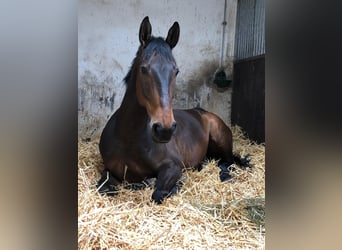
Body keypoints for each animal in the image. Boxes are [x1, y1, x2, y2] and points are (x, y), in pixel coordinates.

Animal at [97, 16, 250, 203]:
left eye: (176, 71)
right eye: (143, 69)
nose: (164, 129)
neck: (128, 138)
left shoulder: (173, 166)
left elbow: (158, 193)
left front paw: (173, 184)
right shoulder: (109, 170)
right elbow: (103, 189)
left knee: (227, 162)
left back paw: (225, 175)